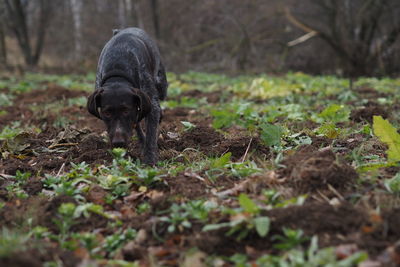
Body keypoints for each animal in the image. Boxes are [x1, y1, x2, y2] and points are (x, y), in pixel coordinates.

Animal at [86, 27, 168, 165]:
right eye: (106, 113)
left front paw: (150, 160)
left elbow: (151, 135)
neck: (118, 73)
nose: (118, 143)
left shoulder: (150, 103)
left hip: (161, 85)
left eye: (126, 111)